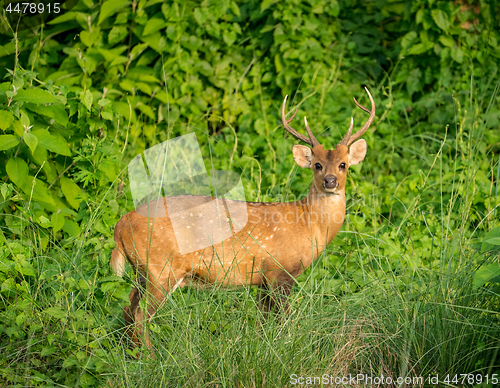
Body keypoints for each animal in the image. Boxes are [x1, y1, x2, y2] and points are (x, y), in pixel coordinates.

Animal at [110, 87, 376, 348]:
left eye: (343, 164)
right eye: (317, 165)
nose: (330, 181)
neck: (307, 223)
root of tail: (120, 225)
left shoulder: (262, 279)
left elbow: (262, 322)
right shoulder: (280, 271)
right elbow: (283, 322)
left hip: (143, 271)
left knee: (127, 308)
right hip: (160, 268)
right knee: (140, 314)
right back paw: (149, 355)